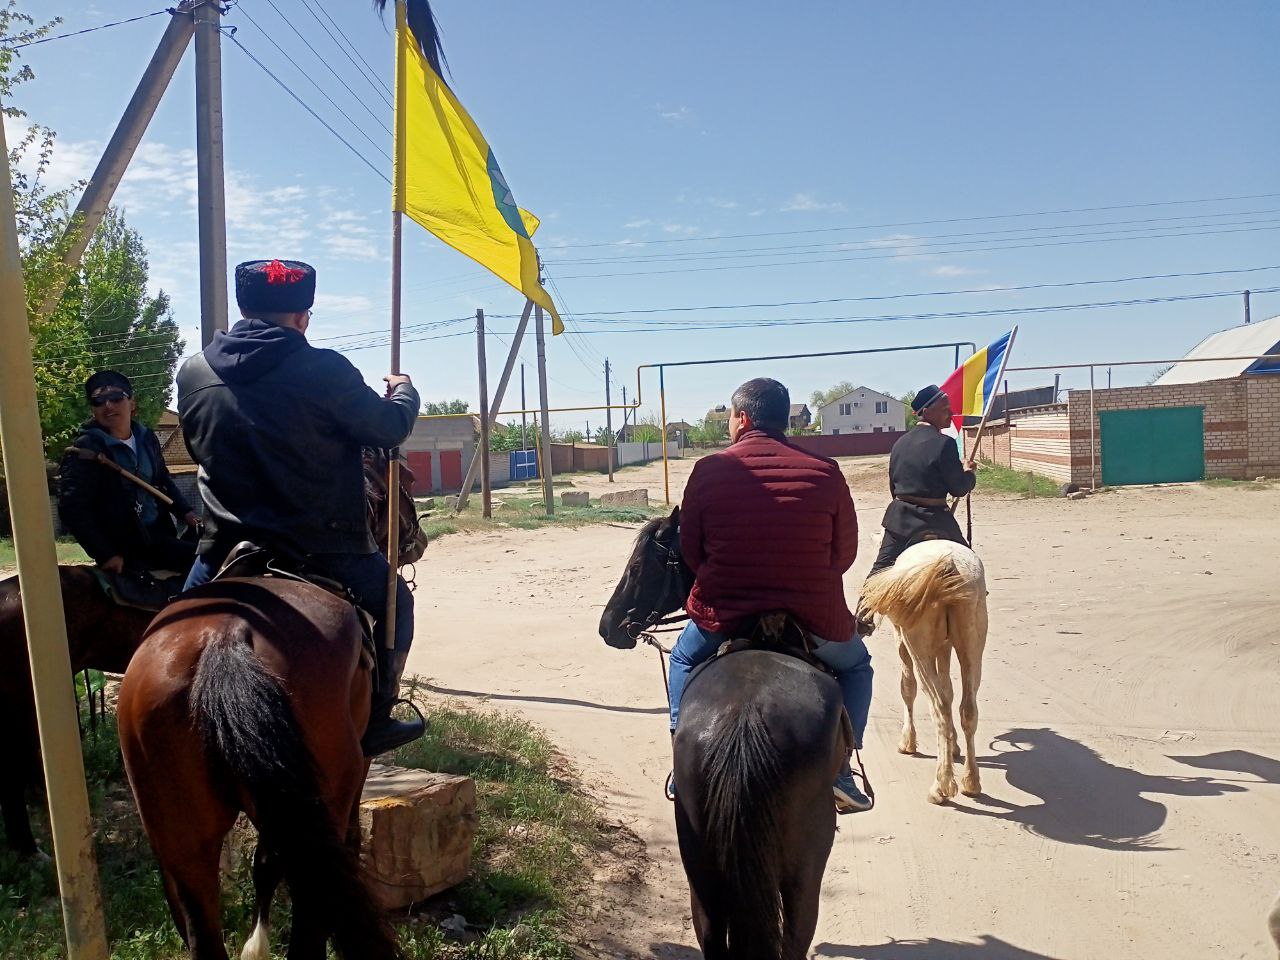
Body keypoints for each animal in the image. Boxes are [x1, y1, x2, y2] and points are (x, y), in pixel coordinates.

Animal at [117, 450, 422, 960]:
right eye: (405, 486)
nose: (416, 539)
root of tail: (225, 639)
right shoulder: (355, 769)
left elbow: (263, 864)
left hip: (180, 844)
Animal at [596, 506, 849, 957]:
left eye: (638, 566)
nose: (609, 626)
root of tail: (744, 720)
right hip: (807, 862)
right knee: (795, 934)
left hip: (699, 860)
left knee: (711, 928)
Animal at [860, 542, 988, 803]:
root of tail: (948, 566)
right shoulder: (945, 646)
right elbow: (949, 689)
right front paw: (953, 745)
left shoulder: (902, 640)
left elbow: (907, 687)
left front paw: (907, 742)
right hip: (972, 642)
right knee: (967, 708)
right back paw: (971, 781)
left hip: (918, 645)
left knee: (939, 707)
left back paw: (941, 786)